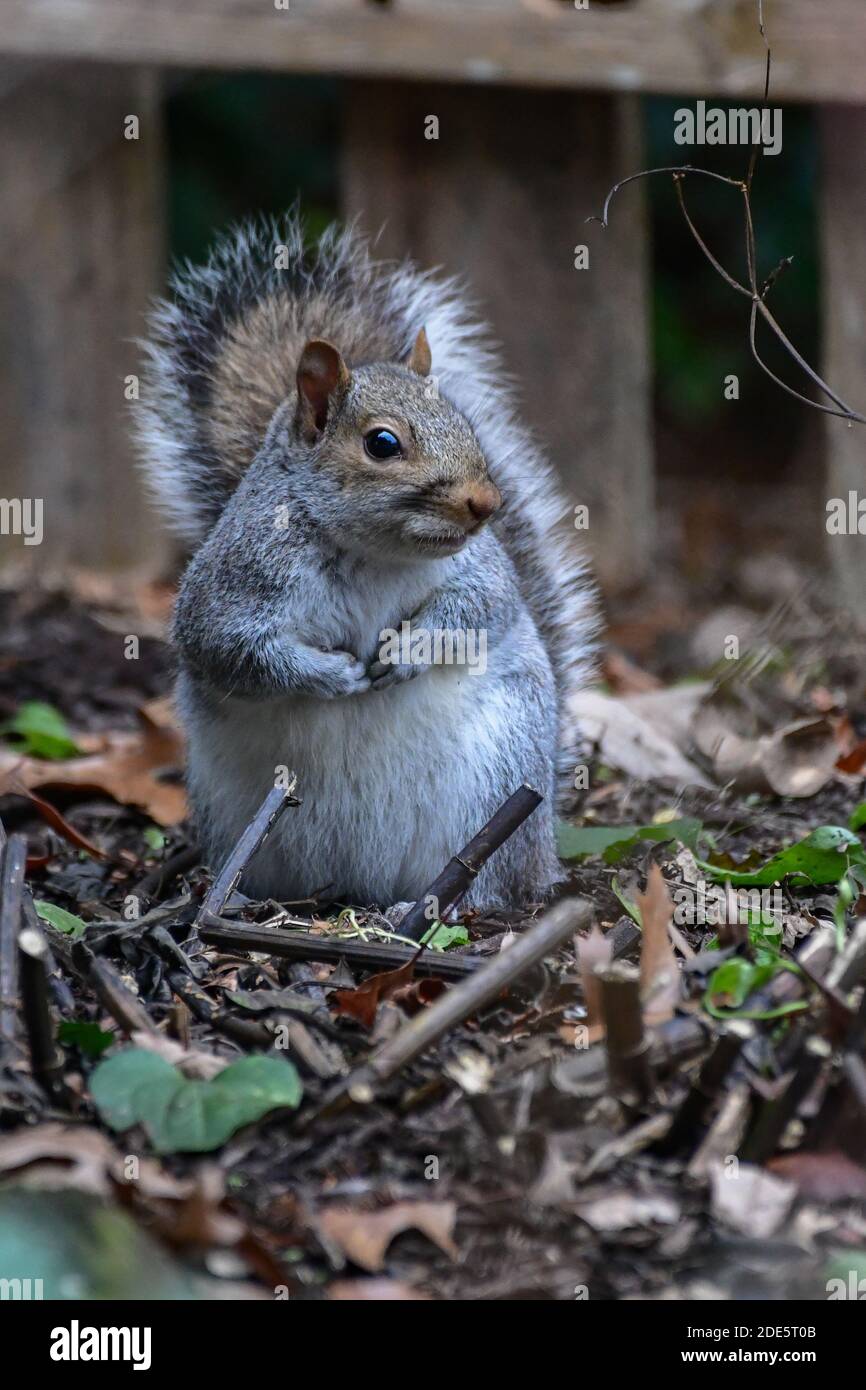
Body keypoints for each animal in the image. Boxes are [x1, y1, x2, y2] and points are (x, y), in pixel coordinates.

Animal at [135, 211, 600, 911]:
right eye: (383, 444)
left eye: (465, 423)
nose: (488, 504)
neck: (369, 552)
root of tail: (361, 885)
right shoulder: (231, 588)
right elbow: (231, 649)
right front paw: (331, 675)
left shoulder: (482, 572)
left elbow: (480, 610)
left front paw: (407, 649)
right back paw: (239, 899)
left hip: (501, 785)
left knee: (490, 883)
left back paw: (434, 902)